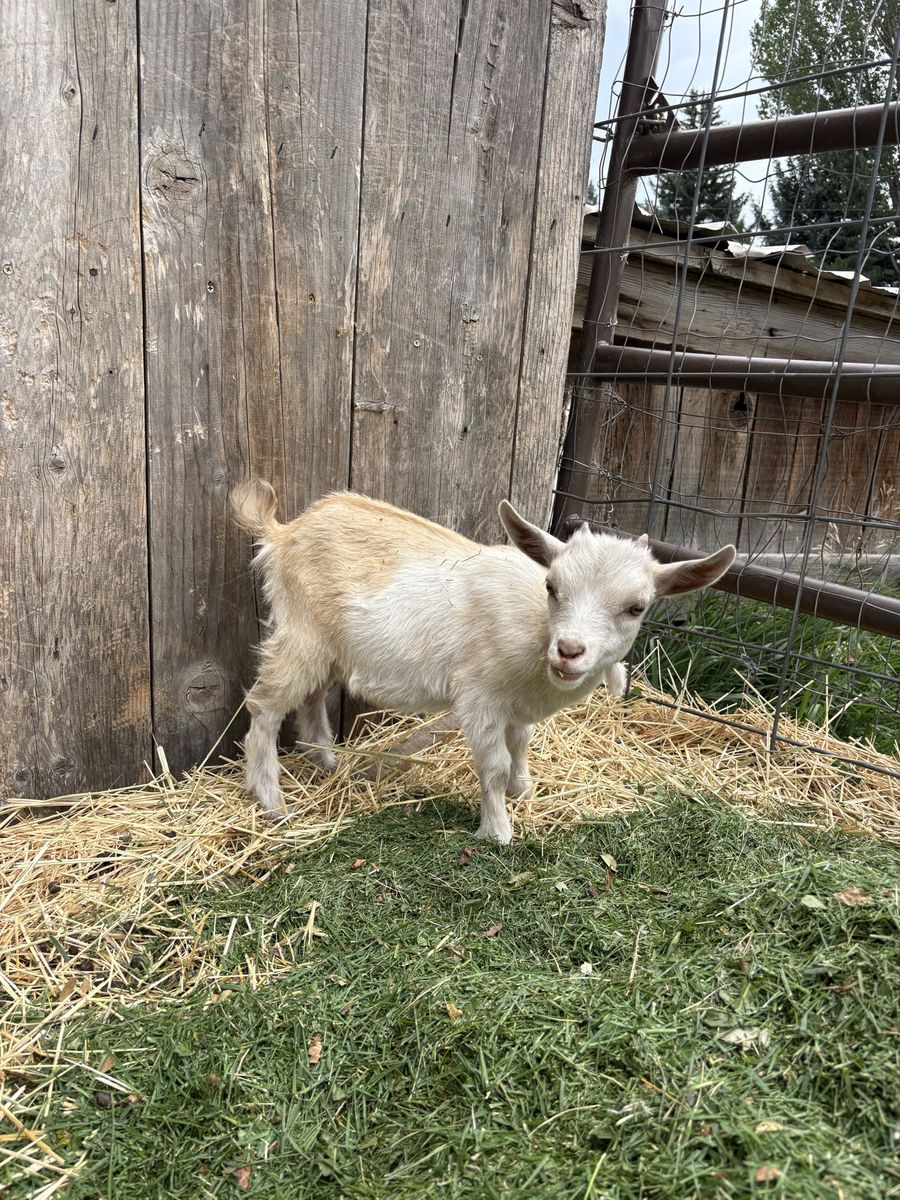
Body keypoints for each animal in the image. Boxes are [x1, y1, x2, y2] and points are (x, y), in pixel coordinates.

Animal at [231, 481, 735, 842]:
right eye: (552, 586)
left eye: (636, 607)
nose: (569, 651)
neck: (535, 633)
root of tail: (283, 533)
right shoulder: (480, 698)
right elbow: (492, 765)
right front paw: (497, 831)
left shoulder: (518, 707)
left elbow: (522, 744)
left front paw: (523, 789)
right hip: (301, 633)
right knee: (264, 706)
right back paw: (270, 798)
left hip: (329, 646)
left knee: (311, 696)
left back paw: (325, 761)